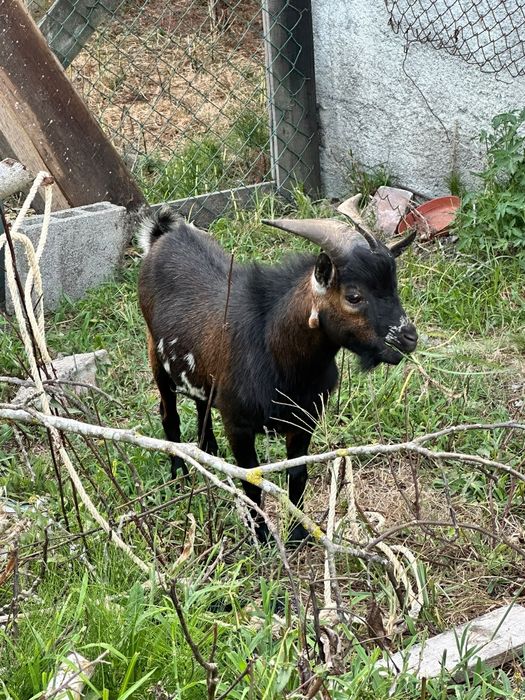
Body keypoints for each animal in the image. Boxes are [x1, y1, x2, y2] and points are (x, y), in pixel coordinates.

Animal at [138, 202, 417, 542]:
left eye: (394, 286)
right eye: (354, 296)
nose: (409, 338)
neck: (274, 349)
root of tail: (162, 236)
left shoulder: (304, 420)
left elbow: (297, 474)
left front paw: (298, 533)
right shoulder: (238, 425)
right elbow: (252, 479)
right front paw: (261, 536)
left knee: (201, 403)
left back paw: (209, 453)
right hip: (157, 358)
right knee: (169, 414)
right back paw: (180, 473)